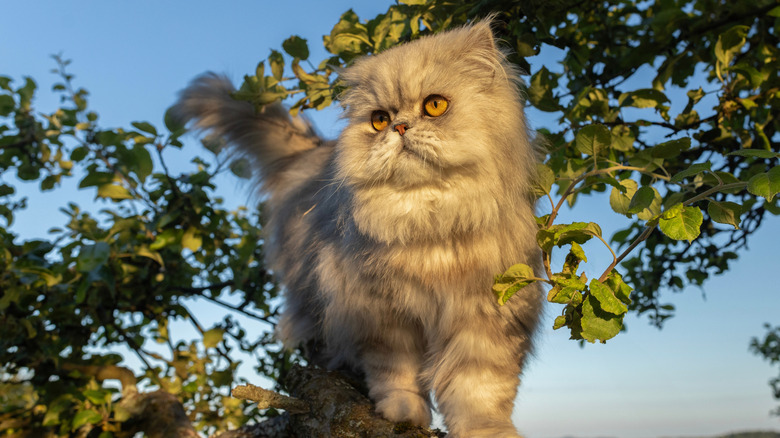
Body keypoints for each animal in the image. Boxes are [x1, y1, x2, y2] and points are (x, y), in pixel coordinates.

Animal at [174, 17, 544, 438]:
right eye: (379, 120)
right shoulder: (382, 316)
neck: (429, 221)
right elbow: (397, 374)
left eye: (435, 106)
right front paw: (403, 412)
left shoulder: (488, 319)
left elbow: (480, 393)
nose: (399, 127)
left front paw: (486, 429)